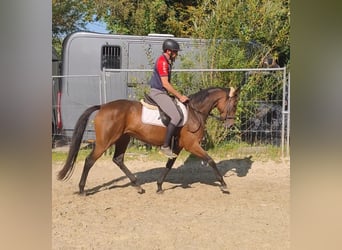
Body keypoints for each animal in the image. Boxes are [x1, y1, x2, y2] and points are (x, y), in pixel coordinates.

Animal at [57, 87, 240, 194]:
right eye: (234, 104)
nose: (230, 125)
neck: (195, 112)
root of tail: (103, 107)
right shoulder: (192, 145)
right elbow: (210, 160)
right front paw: (223, 184)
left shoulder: (178, 147)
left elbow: (169, 165)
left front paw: (159, 186)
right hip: (105, 142)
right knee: (89, 160)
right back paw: (82, 189)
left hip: (123, 138)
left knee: (118, 159)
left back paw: (138, 186)